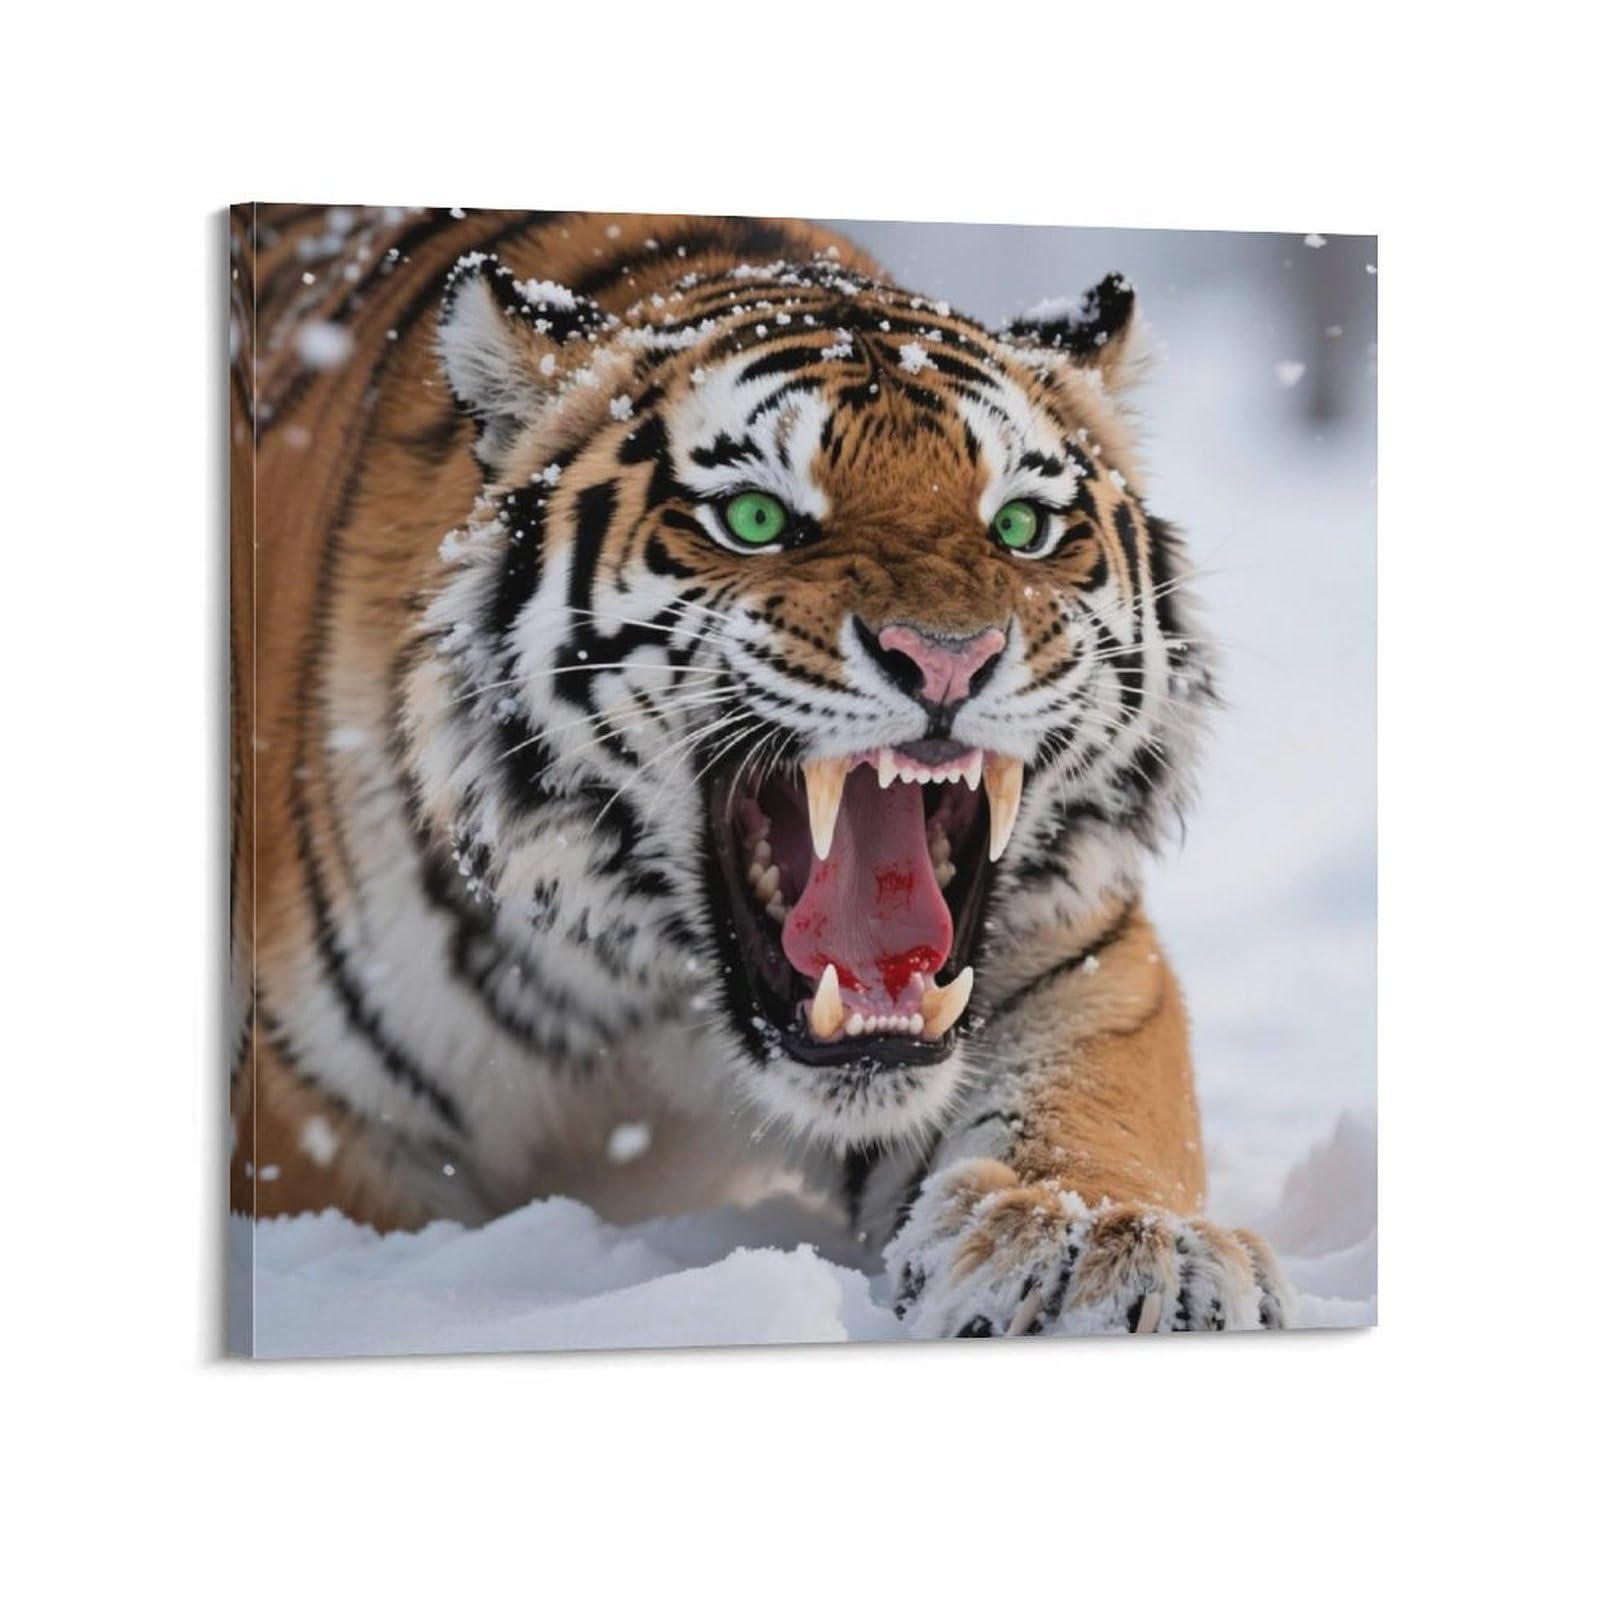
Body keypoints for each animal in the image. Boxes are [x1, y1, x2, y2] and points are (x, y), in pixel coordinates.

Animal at [229, 204, 1291, 1338]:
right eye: (754, 518)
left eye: (1019, 526)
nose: (947, 656)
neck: (657, 987)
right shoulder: (315, 1119)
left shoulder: (1078, 952)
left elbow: (1097, 1097)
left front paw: (1107, 1248)